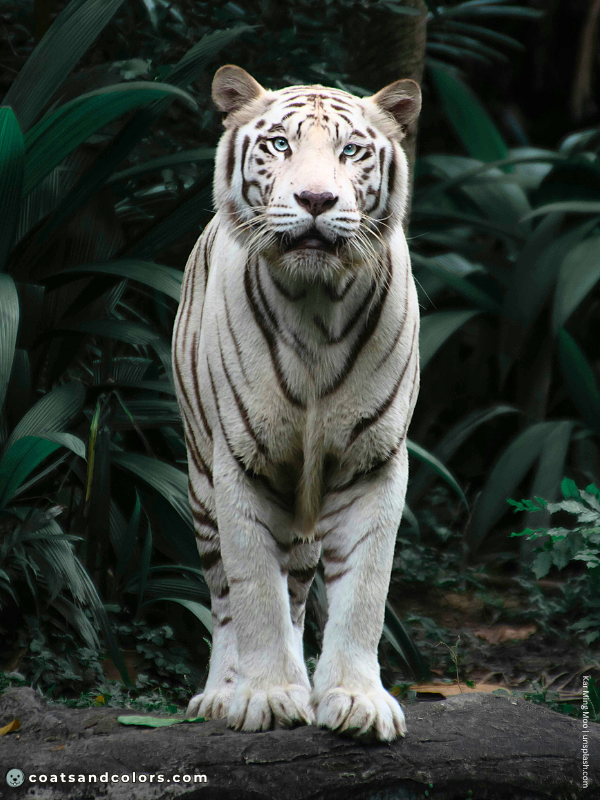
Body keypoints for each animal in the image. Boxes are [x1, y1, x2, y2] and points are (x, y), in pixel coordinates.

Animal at [172, 64, 421, 741]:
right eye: (280, 144)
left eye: (352, 150)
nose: (315, 200)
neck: (316, 306)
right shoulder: (240, 463)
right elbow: (255, 590)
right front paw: (266, 696)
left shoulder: (373, 462)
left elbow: (364, 592)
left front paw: (356, 699)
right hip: (200, 481)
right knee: (225, 598)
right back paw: (221, 693)